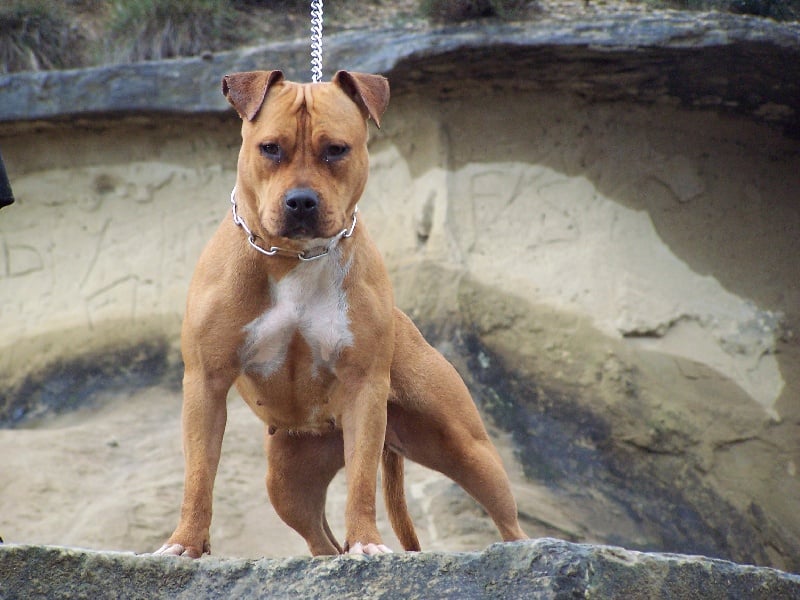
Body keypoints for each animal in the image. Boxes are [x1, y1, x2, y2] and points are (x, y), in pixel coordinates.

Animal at [156, 70, 528, 556]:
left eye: (336, 149)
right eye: (270, 148)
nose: (301, 201)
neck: (295, 258)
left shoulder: (364, 389)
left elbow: (361, 482)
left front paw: (366, 542)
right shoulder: (206, 382)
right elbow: (199, 474)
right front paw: (185, 543)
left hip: (463, 445)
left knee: (507, 517)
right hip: (289, 481)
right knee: (321, 541)